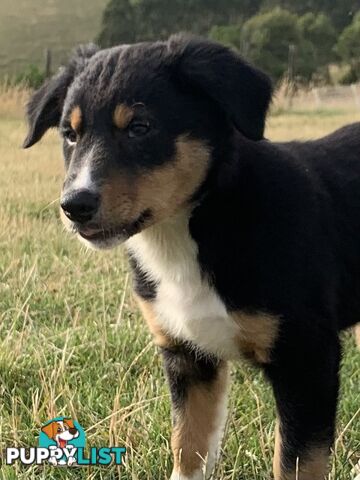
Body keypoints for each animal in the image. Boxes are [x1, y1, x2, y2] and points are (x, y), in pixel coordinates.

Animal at [24, 35, 360, 478]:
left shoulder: (306, 359)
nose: (74, 205)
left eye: (140, 128)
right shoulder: (188, 358)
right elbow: (188, 448)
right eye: (69, 134)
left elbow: (295, 464)